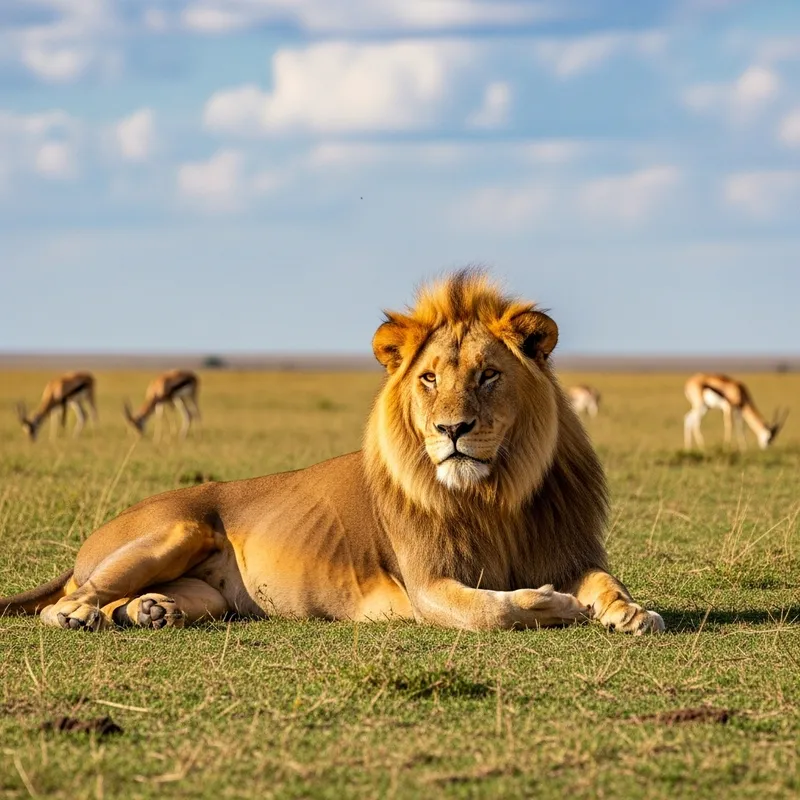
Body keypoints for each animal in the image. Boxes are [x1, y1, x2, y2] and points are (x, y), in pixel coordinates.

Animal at [1, 270, 664, 635]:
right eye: (429, 378)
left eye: (489, 375)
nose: (452, 429)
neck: (494, 494)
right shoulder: (425, 584)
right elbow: (494, 611)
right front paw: (555, 604)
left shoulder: (566, 549)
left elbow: (606, 581)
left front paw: (631, 613)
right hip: (175, 531)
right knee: (71, 598)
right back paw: (79, 614)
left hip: (208, 595)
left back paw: (149, 612)